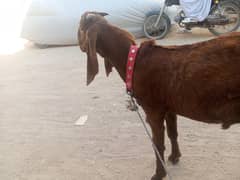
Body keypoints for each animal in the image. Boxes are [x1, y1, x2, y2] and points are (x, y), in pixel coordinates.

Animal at [78, 11, 240, 180]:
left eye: (80, 27)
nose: (80, 45)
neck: (133, 61)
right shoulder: (169, 107)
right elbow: (172, 133)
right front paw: (174, 157)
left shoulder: (153, 109)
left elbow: (157, 144)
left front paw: (159, 174)